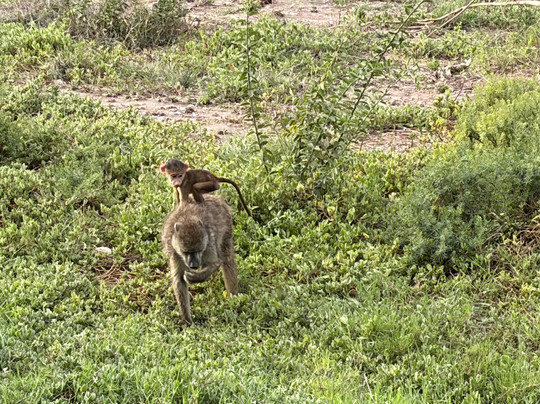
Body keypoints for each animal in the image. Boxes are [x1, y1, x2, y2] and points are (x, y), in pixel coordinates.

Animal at [162, 194, 238, 324]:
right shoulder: (175, 253)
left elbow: (215, 263)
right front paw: (187, 321)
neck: (187, 218)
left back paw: (234, 298)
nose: (194, 265)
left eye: (198, 250)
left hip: (227, 224)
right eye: (186, 252)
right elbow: (179, 279)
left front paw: (194, 277)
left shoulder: (209, 243)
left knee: (227, 258)